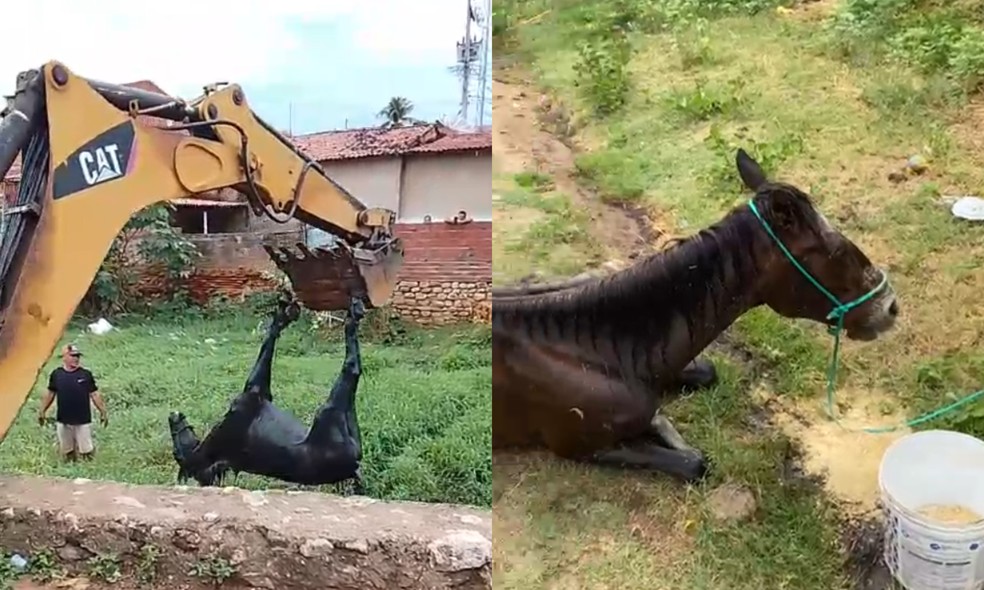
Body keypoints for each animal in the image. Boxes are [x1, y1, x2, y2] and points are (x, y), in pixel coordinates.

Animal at [168, 296, 367, 492]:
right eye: (176, 452)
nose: (173, 416)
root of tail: (353, 467)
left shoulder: (256, 396)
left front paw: (282, 316)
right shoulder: (248, 401)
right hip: (329, 412)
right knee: (352, 367)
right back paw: (352, 318)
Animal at [492, 148, 900, 482]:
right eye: (835, 251)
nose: (890, 307)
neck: (603, 350)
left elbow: (705, 372)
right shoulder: (577, 445)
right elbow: (695, 462)